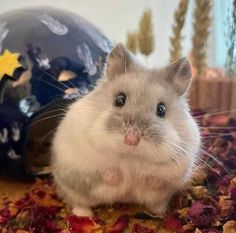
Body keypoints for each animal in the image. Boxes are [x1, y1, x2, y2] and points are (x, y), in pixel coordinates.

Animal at [50, 42, 200, 218]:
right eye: (119, 99)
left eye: (161, 109)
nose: (131, 139)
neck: (130, 157)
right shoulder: (82, 159)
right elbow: (106, 171)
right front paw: (117, 176)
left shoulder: (178, 164)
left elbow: (157, 178)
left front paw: (144, 179)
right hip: (71, 189)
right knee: (78, 202)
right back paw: (84, 216)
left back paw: (160, 213)